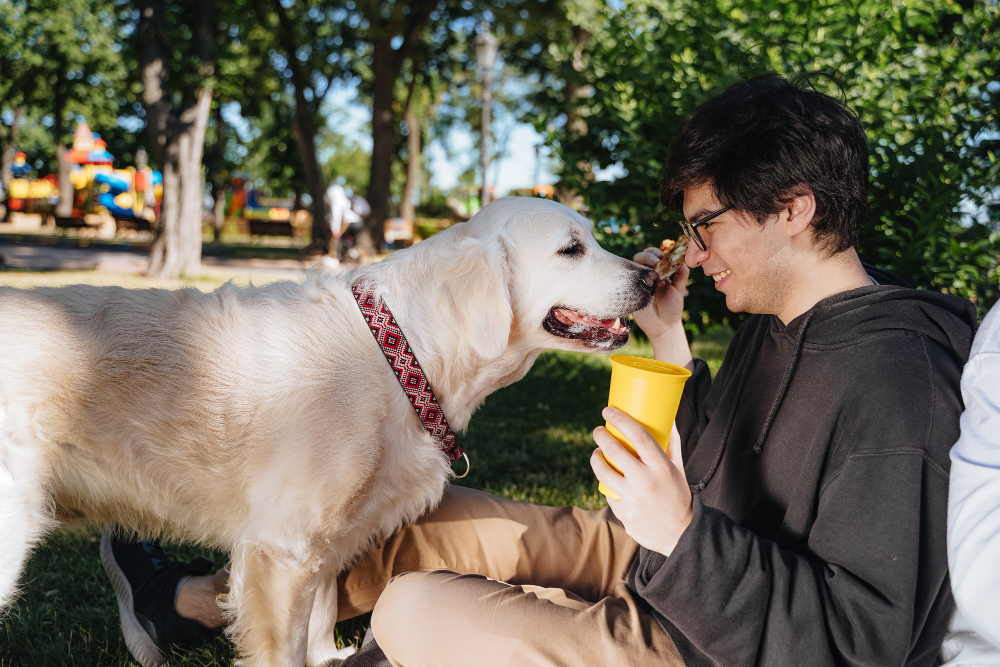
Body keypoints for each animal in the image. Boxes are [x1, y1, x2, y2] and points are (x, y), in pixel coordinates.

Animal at [0, 196, 660, 664]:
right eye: (572, 249)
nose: (650, 279)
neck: (401, 352)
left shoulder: (324, 543)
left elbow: (316, 623)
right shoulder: (283, 549)